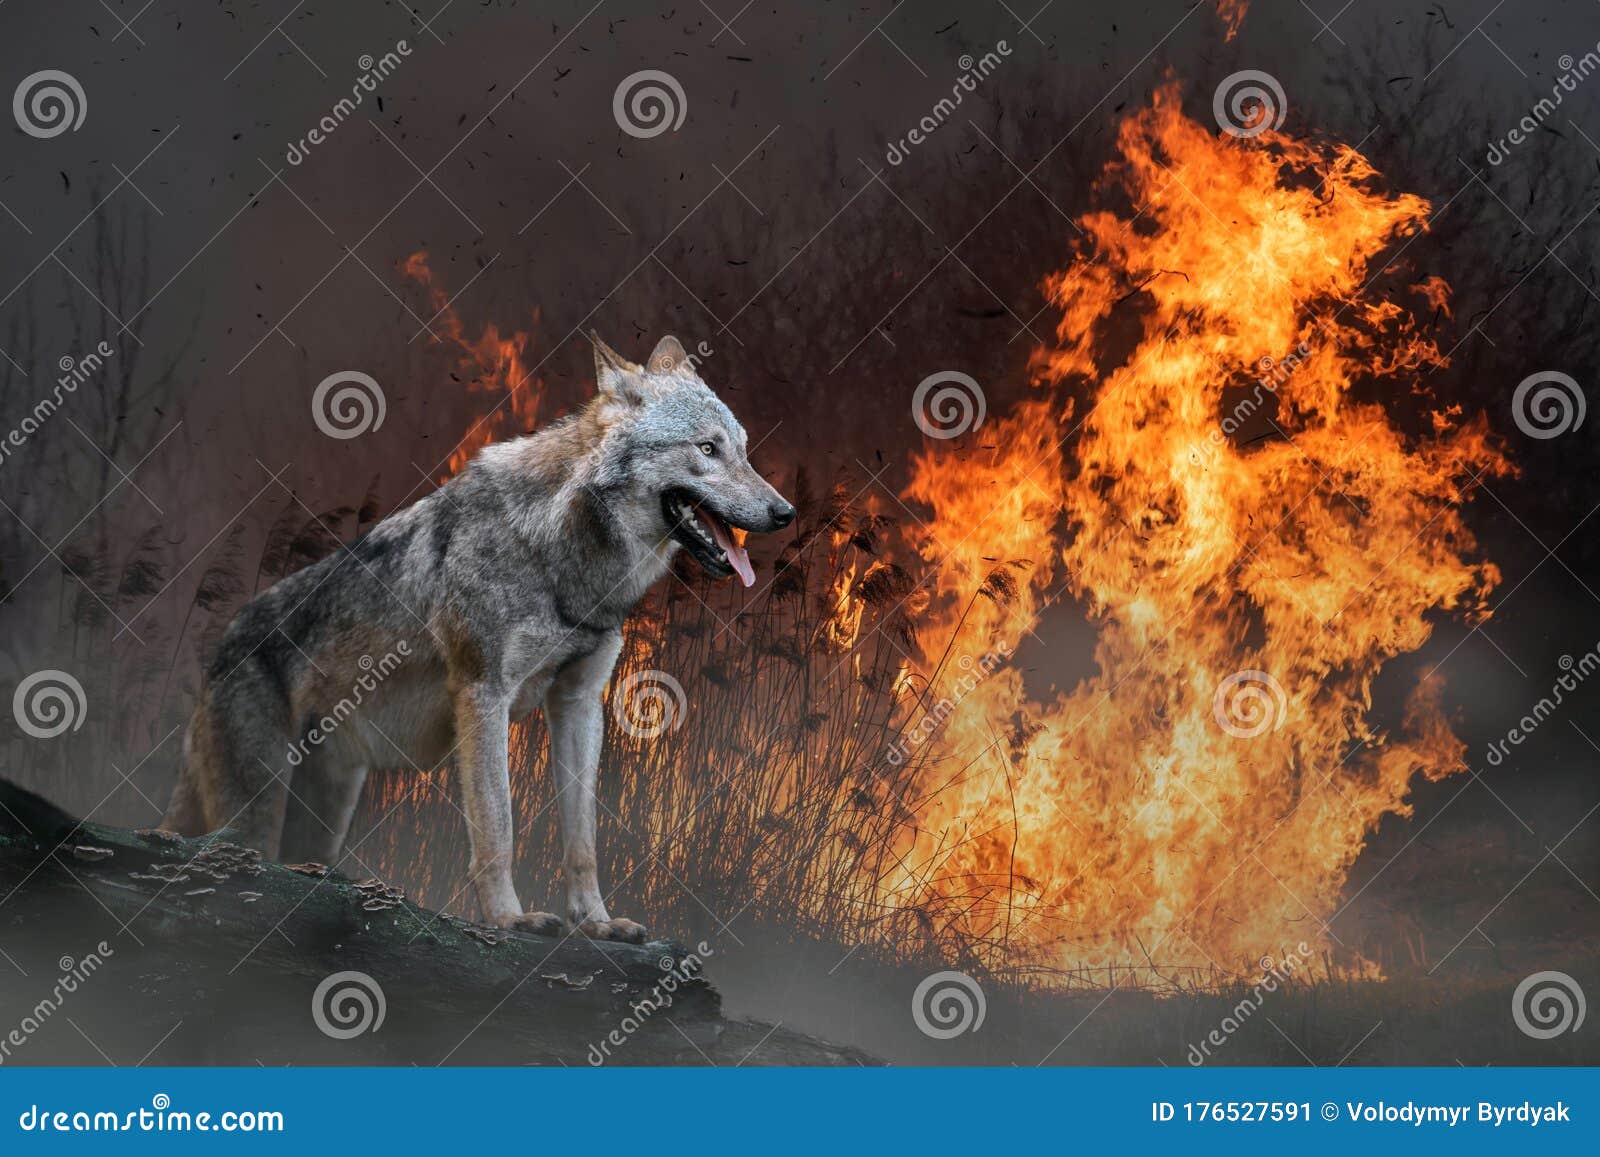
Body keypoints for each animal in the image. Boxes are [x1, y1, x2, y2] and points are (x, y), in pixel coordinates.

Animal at [162, 334, 793, 942]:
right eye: (706, 449)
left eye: (743, 449)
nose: (784, 512)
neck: (559, 556)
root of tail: (218, 651)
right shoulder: (483, 694)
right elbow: (498, 828)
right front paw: (508, 919)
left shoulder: (579, 702)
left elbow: (583, 841)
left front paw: (595, 923)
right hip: (255, 815)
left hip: (324, 816)